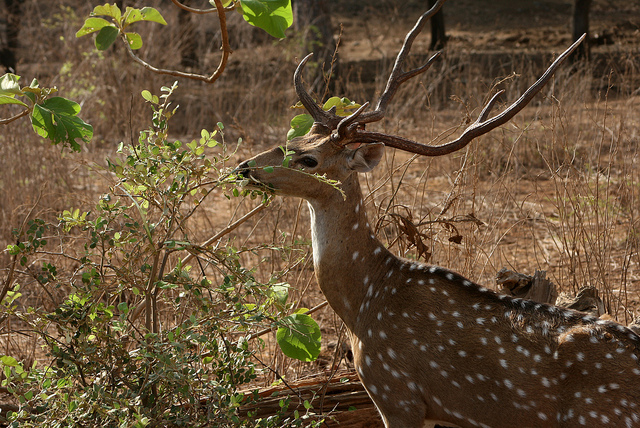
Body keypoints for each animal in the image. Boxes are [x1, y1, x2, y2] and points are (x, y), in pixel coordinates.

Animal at [236, 1, 640, 426]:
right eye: (293, 138)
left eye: (309, 159)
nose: (245, 167)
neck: (363, 306)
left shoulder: (397, 394)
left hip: (602, 415)